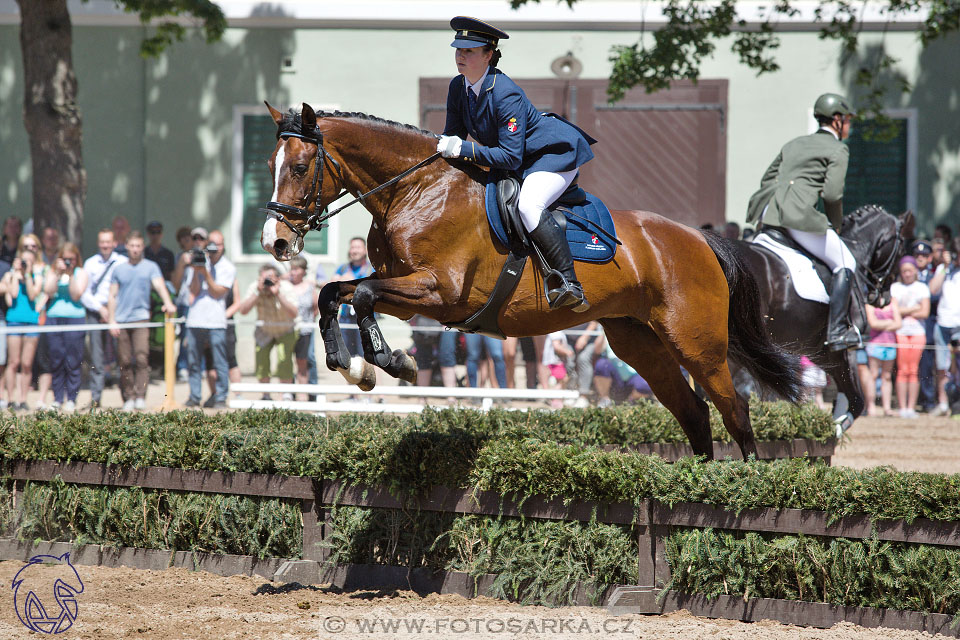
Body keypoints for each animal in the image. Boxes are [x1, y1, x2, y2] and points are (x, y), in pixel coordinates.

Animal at [256, 102, 804, 458]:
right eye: (269, 165)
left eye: (300, 167)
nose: (274, 242)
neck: (414, 190)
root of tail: (700, 238)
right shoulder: (408, 295)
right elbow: (335, 295)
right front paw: (353, 367)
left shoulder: (438, 291)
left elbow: (364, 295)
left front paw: (393, 363)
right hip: (638, 341)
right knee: (693, 411)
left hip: (696, 341)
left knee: (734, 409)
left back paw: (744, 484)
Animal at [732, 208, 912, 432]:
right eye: (902, 249)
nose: (884, 299)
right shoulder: (844, 351)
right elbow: (856, 401)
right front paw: (834, 432)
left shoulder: (822, 354)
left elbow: (846, 401)